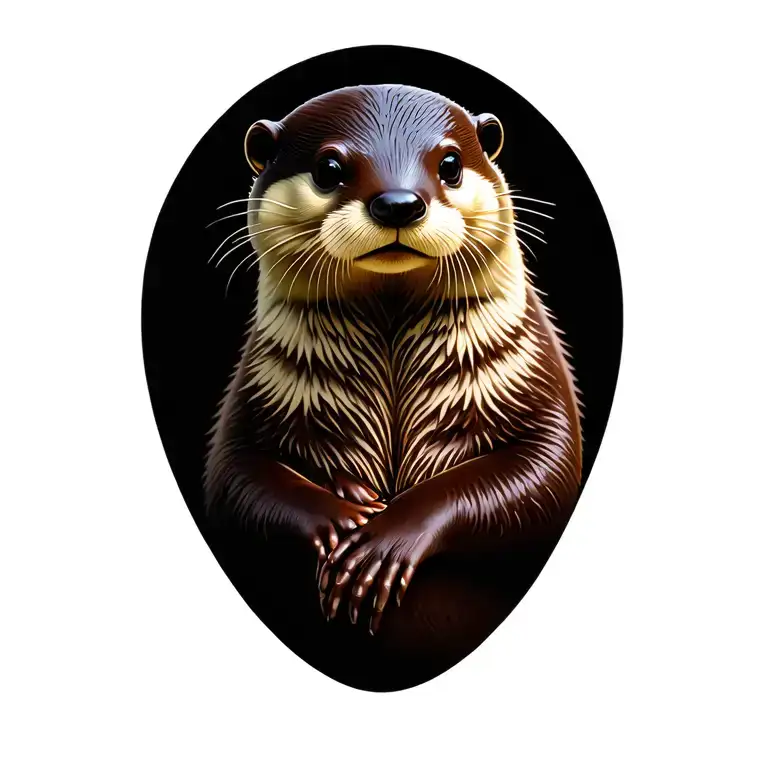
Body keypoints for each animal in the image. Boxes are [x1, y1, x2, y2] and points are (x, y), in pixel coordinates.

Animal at [203, 84, 582, 690]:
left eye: (450, 164)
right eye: (329, 168)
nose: (399, 203)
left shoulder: (533, 384)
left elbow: (548, 474)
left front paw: (387, 536)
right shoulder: (254, 395)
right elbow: (233, 479)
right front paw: (342, 510)